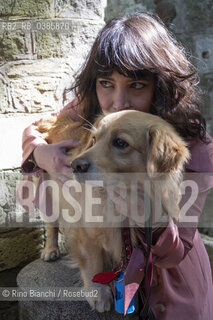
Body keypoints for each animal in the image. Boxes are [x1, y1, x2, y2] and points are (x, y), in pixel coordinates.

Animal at [37, 110, 189, 312]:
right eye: (93, 139)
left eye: (120, 143)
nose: (75, 165)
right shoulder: (84, 230)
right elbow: (92, 262)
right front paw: (98, 292)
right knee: (51, 224)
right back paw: (50, 249)